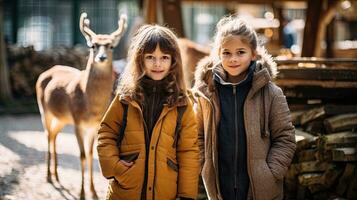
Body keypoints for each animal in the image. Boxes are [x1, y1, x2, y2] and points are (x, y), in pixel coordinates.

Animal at [35, 12, 127, 200]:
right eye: (93, 45)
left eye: (111, 46)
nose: (101, 57)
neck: (90, 106)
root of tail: (44, 73)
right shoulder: (77, 122)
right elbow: (83, 155)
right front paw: (82, 193)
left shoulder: (94, 126)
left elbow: (91, 155)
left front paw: (94, 192)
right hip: (44, 110)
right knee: (48, 135)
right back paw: (48, 176)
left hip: (61, 118)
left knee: (54, 135)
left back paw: (56, 175)